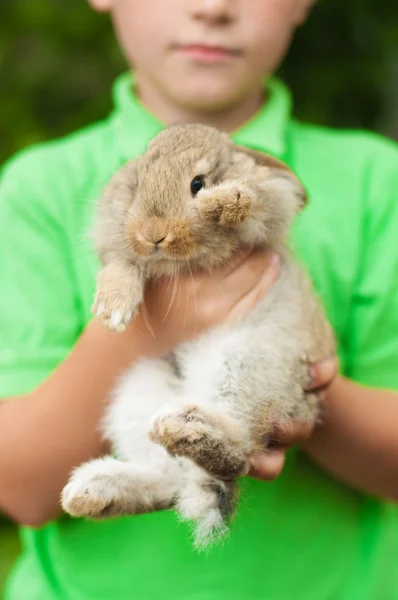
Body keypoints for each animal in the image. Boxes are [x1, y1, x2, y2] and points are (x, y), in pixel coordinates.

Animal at [61, 122, 336, 548]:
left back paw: (183, 428)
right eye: (138, 181)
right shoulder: (119, 244)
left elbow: (254, 200)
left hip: (248, 364)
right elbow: (122, 263)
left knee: (239, 454)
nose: (153, 234)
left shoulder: (266, 217)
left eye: (197, 182)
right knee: (168, 480)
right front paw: (113, 309)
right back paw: (92, 493)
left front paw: (222, 201)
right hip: (140, 391)